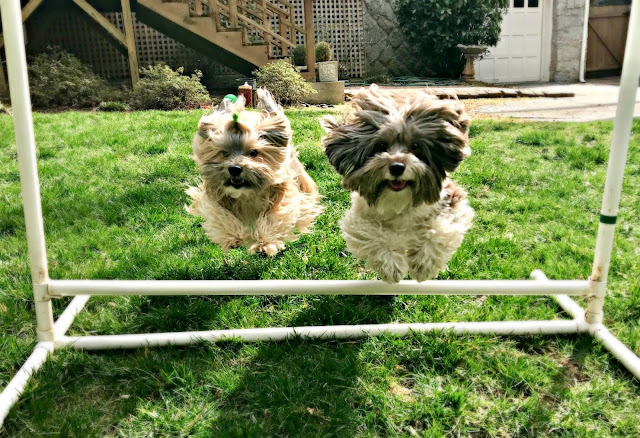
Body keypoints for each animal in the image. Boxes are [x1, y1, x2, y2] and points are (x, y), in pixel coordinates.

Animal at [188, 90, 322, 258]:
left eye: (253, 152)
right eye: (224, 152)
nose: (234, 168)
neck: (247, 193)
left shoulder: (286, 196)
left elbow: (273, 217)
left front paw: (263, 244)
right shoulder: (213, 197)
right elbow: (220, 213)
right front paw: (233, 235)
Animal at [322, 86, 472, 284]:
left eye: (415, 146)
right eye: (381, 145)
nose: (397, 166)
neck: (399, 202)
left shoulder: (451, 200)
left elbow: (439, 228)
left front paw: (422, 265)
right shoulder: (359, 217)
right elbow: (372, 234)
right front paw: (391, 267)